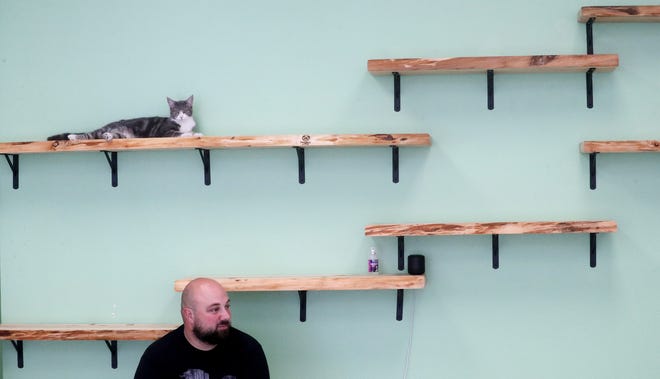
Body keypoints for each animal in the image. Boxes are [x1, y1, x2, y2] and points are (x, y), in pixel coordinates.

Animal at [48, 95, 200, 142]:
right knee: (90, 134)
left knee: (106, 135)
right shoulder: (164, 132)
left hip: (122, 135)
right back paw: (73, 137)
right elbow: (178, 133)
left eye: (185, 110)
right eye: (175, 111)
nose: (181, 115)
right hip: (105, 130)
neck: (184, 123)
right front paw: (191, 134)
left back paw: (108, 136)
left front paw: (196, 133)